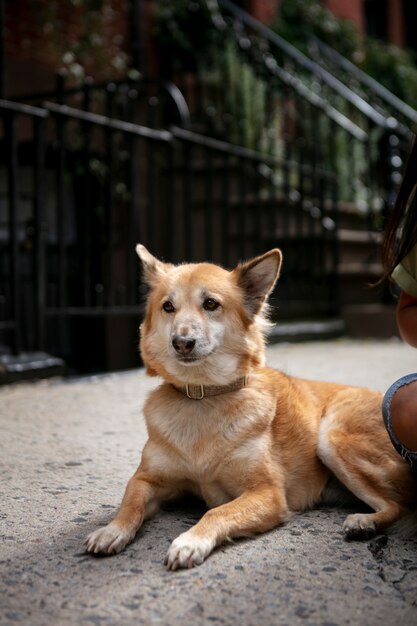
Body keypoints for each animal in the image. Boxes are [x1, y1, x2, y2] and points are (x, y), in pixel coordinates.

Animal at [84, 246, 416, 568]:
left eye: (211, 304)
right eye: (168, 307)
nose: (182, 342)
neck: (202, 397)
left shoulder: (267, 493)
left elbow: (215, 512)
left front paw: (191, 541)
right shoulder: (147, 479)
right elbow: (130, 502)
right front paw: (111, 530)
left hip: (331, 438)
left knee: (399, 506)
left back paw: (365, 522)